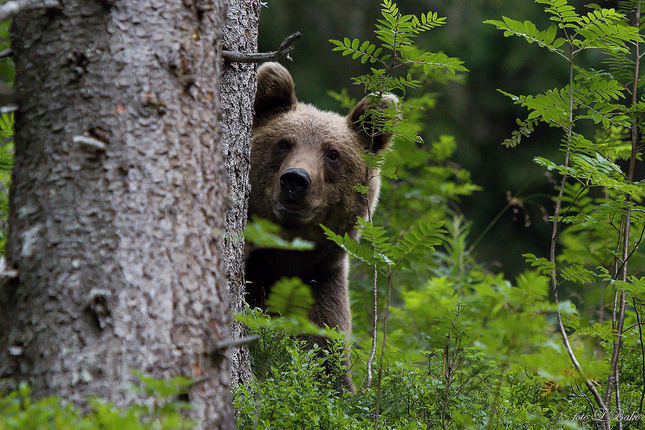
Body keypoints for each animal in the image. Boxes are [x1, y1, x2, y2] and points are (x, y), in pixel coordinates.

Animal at [244, 62, 394, 392]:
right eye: (283, 142)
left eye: (333, 153)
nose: (295, 179)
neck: (284, 257)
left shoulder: (320, 286)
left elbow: (326, 361)